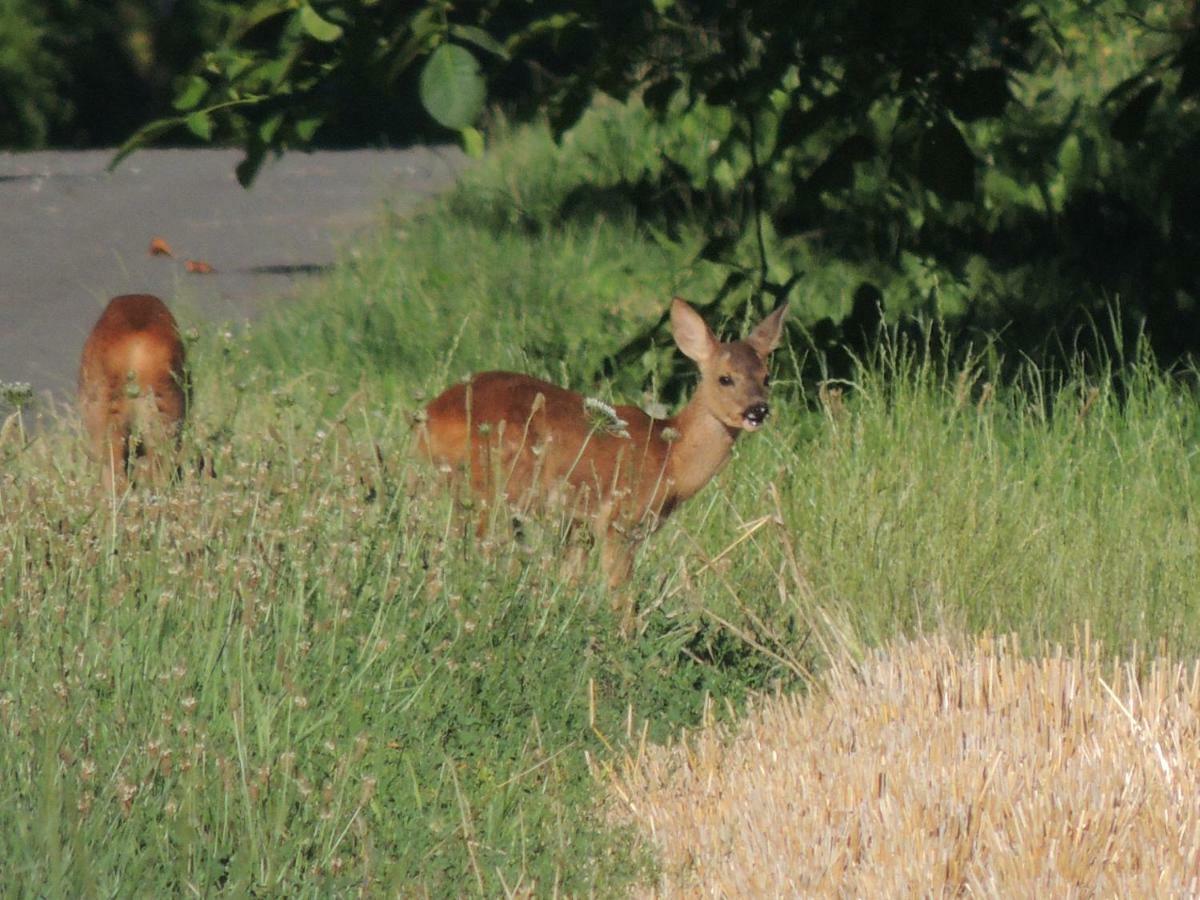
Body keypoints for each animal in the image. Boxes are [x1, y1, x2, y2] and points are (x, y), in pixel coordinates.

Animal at [417, 300, 792, 619]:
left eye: (767, 377)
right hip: (490, 488)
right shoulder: (620, 520)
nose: (758, 410)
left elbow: (570, 581)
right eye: (725, 378)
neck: (670, 457)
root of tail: (429, 415)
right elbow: (620, 594)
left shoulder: (579, 525)